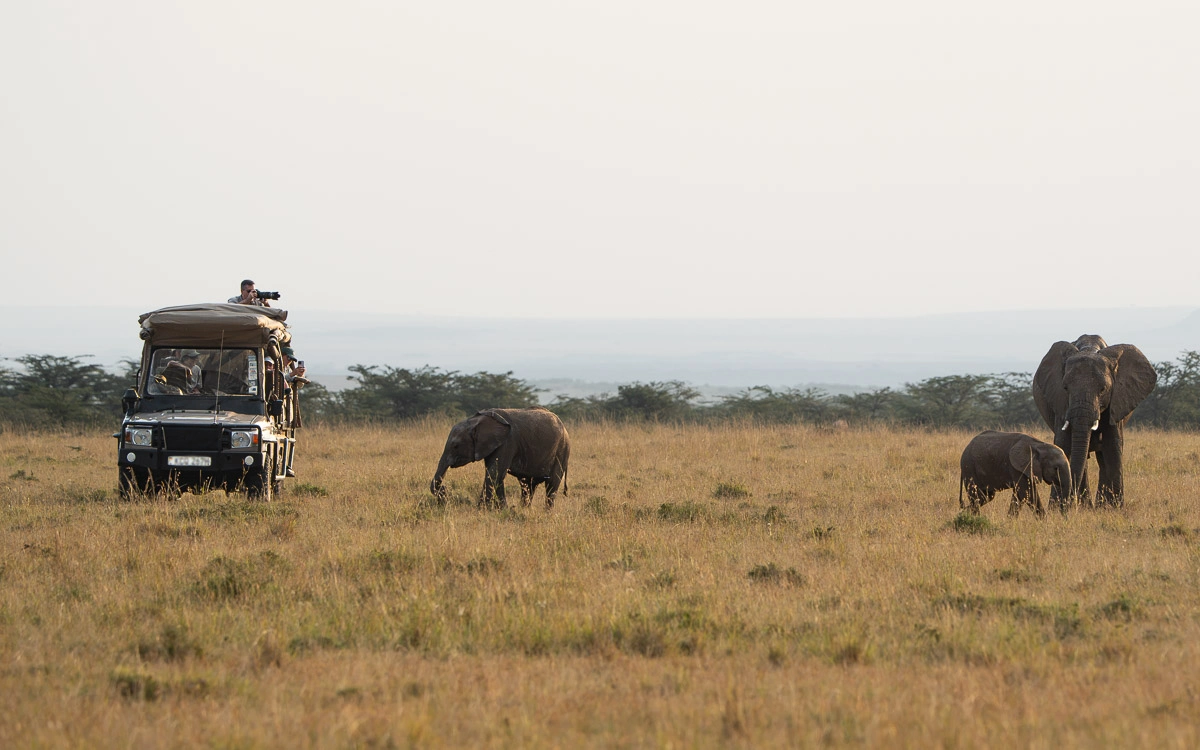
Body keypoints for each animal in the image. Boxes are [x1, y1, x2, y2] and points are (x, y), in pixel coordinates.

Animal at [430, 407, 570, 509]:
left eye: (455, 446)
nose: (444, 490)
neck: (478, 420)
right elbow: (496, 475)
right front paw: (502, 509)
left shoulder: (507, 443)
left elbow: (494, 473)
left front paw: (481, 510)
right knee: (527, 485)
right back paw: (524, 509)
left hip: (562, 451)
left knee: (551, 485)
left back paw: (547, 512)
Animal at [1032, 335, 1157, 509]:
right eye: (1065, 388)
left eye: (1103, 389)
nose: (1070, 502)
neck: (1090, 349)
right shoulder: (1061, 404)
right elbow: (1064, 445)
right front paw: (1057, 508)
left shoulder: (1116, 401)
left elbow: (1112, 447)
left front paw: (1115, 509)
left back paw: (1099, 506)